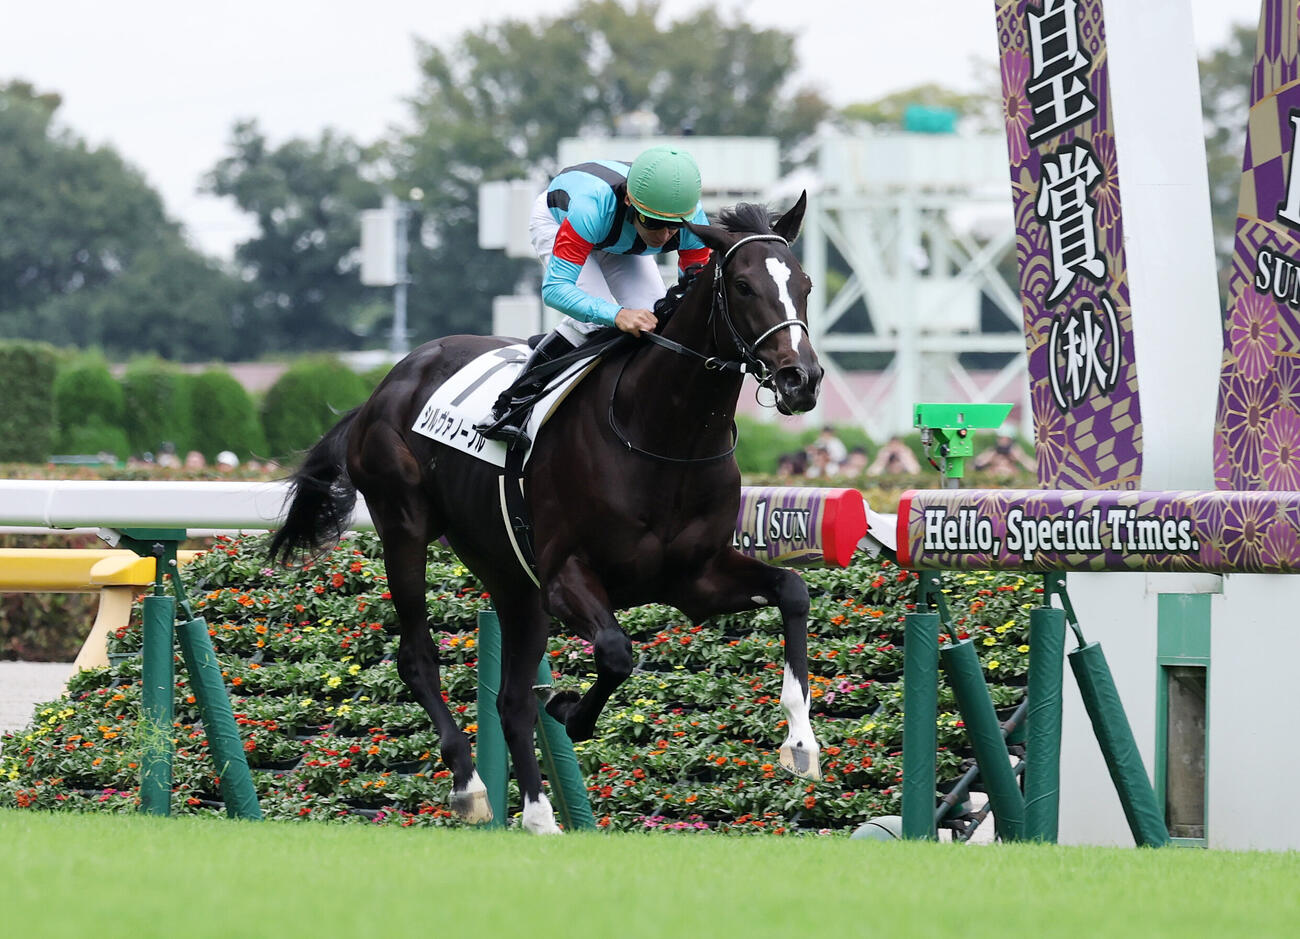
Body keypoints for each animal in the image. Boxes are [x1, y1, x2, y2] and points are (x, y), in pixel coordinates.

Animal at [268, 194, 825, 833]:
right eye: (742, 285)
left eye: (805, 284)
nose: (801, 378)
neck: (662, 434)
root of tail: (385, 386)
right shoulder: (566, 578)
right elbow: (615, 652)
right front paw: (568, 708)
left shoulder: (695, 579)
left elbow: (792, 590)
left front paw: (801, 742)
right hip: (405, 531)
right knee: (417, 658)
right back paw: (468, 784)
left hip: (512, 578)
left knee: (510, 700)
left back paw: (539, 817)